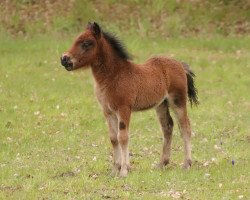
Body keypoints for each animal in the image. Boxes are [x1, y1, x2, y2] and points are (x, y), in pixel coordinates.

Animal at [59, 22, 198, 177]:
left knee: (185, 127)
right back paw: (162, 163)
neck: (114, 76)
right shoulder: (107, 111)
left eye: (86, 43)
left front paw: (124, 170)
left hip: (177, 101)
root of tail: (180, 64)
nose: (64, 59)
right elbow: (113, 138)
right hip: (161, 104)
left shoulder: (124, 108)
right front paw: (114, 170)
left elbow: (123, 137)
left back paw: (187, 164)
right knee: (167, 127)